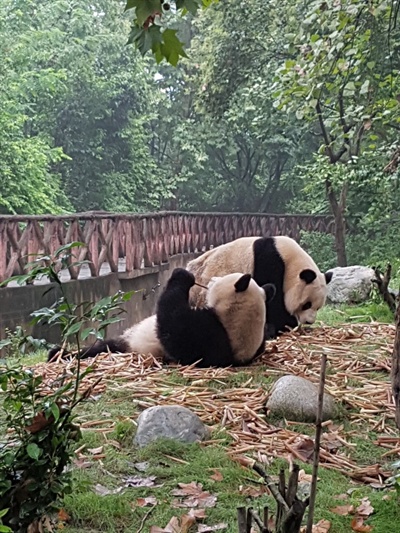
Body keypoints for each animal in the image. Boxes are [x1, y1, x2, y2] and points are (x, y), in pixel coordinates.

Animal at [47, 266, 276, 366]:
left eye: (218, 280)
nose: (211, 280)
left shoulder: (208, 337)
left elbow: (172, 325)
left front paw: (183, 275)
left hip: (130, 346)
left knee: (100, 349)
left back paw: (59, 355)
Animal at [186, 236, 332, 336]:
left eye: (318, 307)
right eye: (307, 304)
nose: (309, 321)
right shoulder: (269, 261)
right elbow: (274, 302)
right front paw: (286, 324)